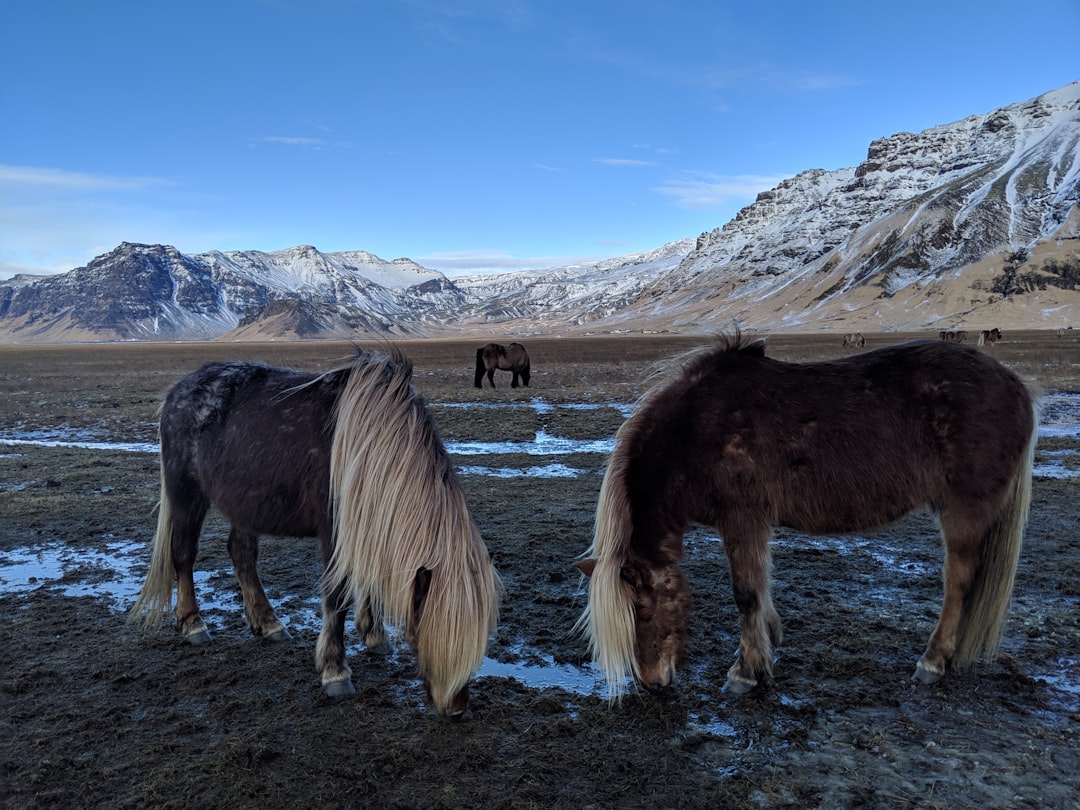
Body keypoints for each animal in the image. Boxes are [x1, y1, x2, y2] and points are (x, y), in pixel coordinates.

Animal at [128, 349, 498, 717]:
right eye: (435, 631)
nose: (456, 707)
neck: (372, 443)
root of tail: (178, 390)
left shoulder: (362, 524)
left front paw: (374, 635)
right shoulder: (333, 530)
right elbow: (336, 595)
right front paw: (335, 672)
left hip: (243, 504)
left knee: (241, 554)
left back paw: (268, 624)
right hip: (186, 493)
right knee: (183, 554)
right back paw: (194, 625)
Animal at [574, 332, 1036, 699]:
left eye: (643, 611)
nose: (652, 682)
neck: (695, 431)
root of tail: (1015, 385)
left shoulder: (741, 519)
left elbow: (746, 593)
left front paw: (745, 673)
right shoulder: (753, 525)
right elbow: (761, 586)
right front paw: (767, 645)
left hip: (963, 512)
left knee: (958, 582)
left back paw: (932, 662)